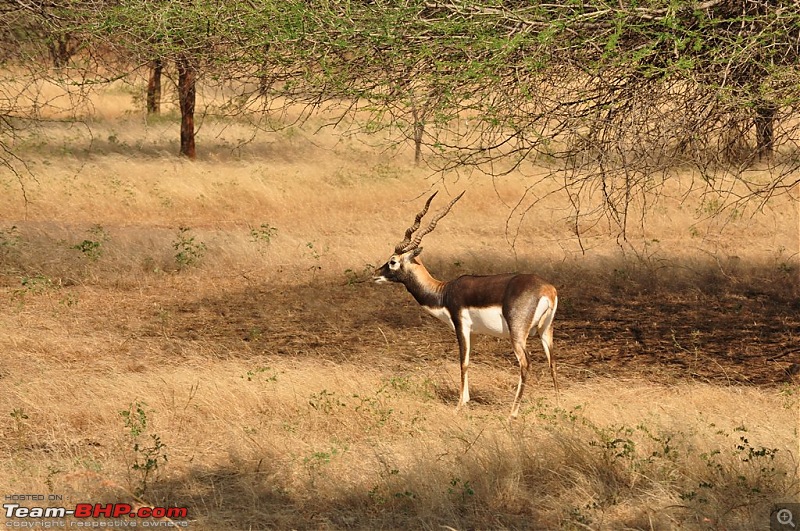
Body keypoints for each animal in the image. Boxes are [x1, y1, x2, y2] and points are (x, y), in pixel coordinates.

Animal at [374, 191, 556, 420]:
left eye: (392, 261)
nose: (375, 274)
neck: (443, 291)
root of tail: (547, 290)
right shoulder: (474, 332)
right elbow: (470, 361)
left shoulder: (461, 326)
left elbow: (463, 362)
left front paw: (460, 404)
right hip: (545, 331)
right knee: (552, 362)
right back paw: (558, 403)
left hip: (518, 335)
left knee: (525, 363)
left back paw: (512, 413)